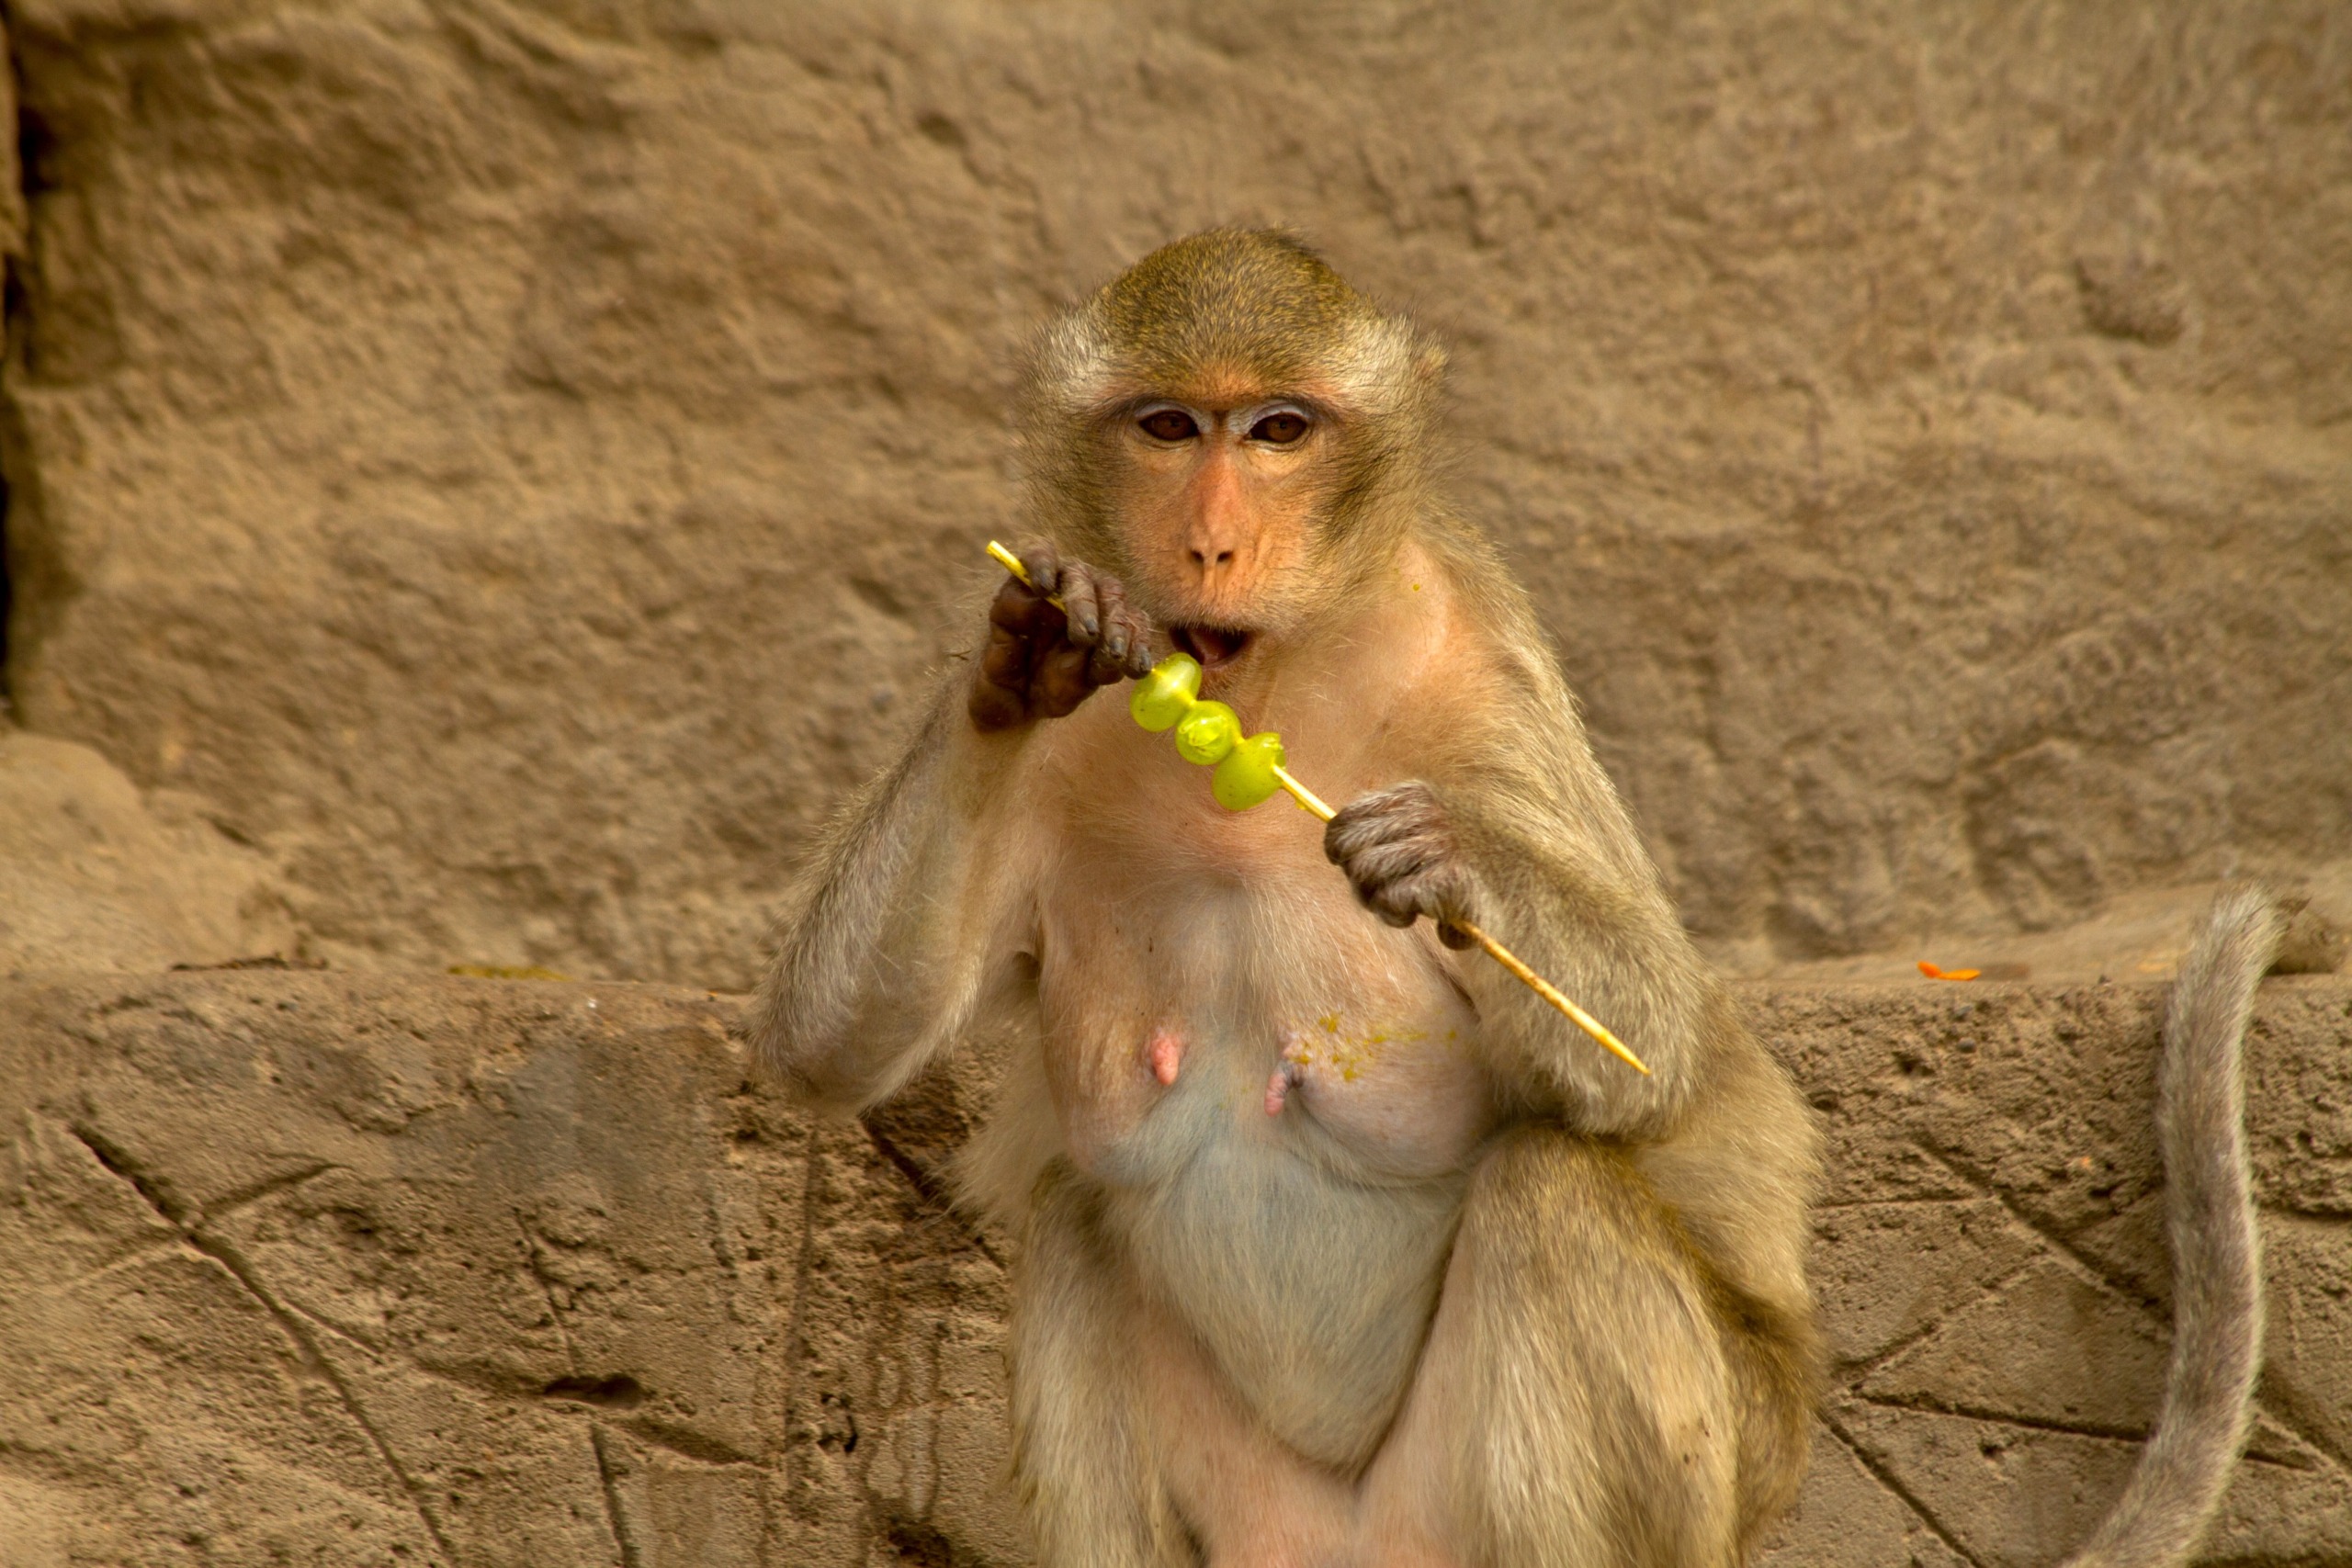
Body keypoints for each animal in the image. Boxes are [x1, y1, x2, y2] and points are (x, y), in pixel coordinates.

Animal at [748, 232, 2277, 1568]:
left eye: (1280, 431)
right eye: (1170, 426)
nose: (1211, 547)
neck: (1275, 695)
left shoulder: (1482, 672)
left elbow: (1658, 1047)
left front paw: (1454, 865)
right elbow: (829, 1039)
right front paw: (1026, 647)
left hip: (1707, 1471)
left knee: (1552, 1193)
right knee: (1074, 1219)